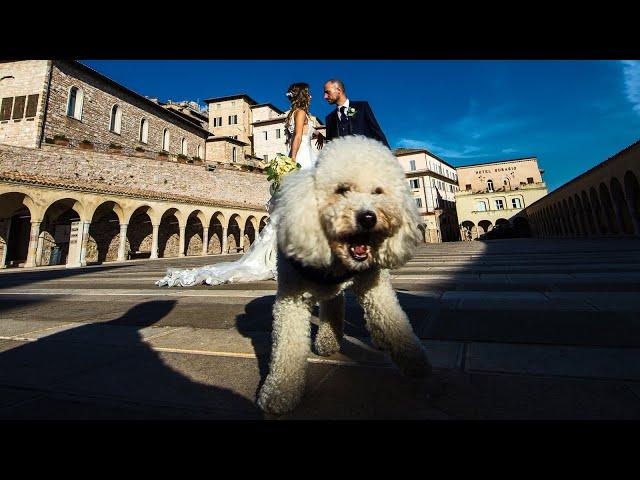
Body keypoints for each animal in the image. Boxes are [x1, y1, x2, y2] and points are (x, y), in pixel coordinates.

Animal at [258, 136, 432, 416]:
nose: (368, 217)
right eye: (341, 190)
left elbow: (394, 321)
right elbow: (287, 346)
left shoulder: (375, 286)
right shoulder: (290, 298)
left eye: (378, 191)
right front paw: (279, 392)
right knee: (332, 302)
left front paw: (415, 360)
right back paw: (329, 340)